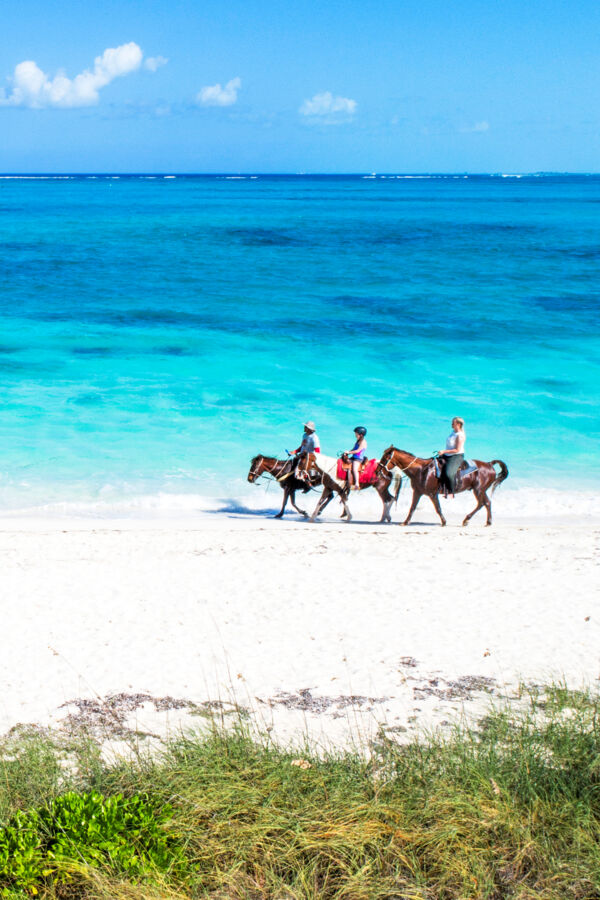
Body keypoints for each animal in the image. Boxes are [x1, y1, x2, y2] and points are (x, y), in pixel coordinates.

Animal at [378, 448, 508, 528]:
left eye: (385, 457)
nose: (378, 470)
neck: (421, 470)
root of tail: (489, 464)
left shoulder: (432, 494)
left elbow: (438, 508)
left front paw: (444, 522)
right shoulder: (418, 492)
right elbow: (412, 508)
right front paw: (405, 522)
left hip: (479, 490)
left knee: (482, 503)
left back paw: (468, 520)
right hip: (481, 490)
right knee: (486, 503)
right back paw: (485, 521)